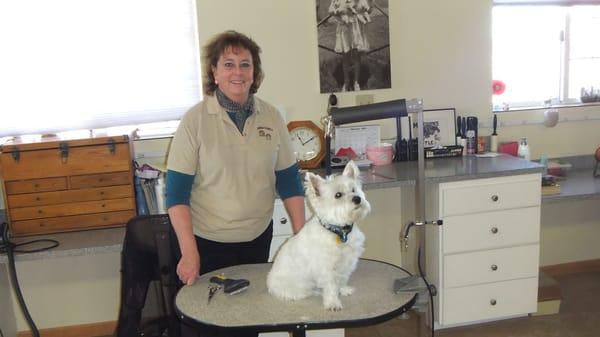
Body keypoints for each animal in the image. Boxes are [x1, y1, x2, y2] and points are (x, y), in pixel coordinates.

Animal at [268, 160, 370, 310]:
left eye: (353, 190)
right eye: (338, 195)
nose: (357, 199)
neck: (338, 231)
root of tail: (269, 283)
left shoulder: (346, 262)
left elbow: (342, 278)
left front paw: (344, 290)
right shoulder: (326, 268)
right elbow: (331, 286)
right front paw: (333, 303)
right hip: (298, 288)